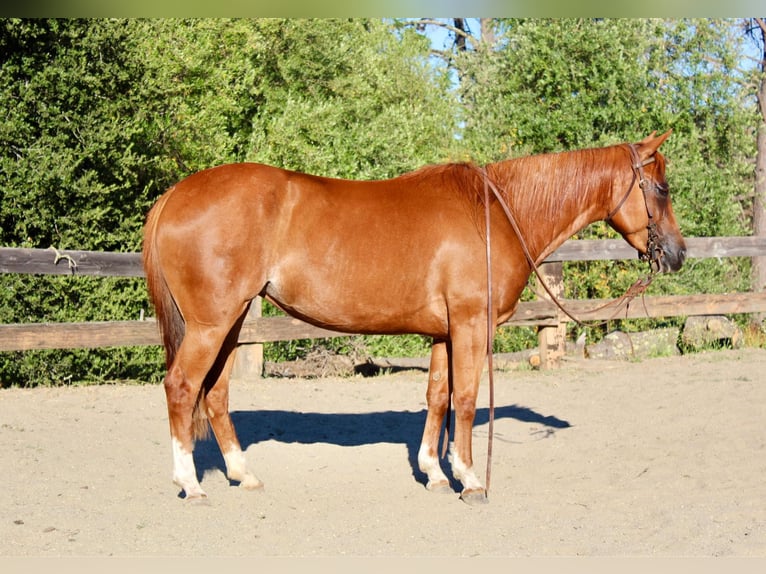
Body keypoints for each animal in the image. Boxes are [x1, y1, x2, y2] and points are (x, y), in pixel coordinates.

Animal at [142, 130, 686, 504]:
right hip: (212, 325)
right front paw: (470, 479)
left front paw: (435, 472)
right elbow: (465, 400)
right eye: (660, 187)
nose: (678, 254)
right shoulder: (470, 324)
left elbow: (437, 398)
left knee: (215, 393)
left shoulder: (444, 332)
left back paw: (243, 474)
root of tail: (175, 194)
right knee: (182, 387)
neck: (495, 213)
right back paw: (191, 484)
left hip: (231, 322)